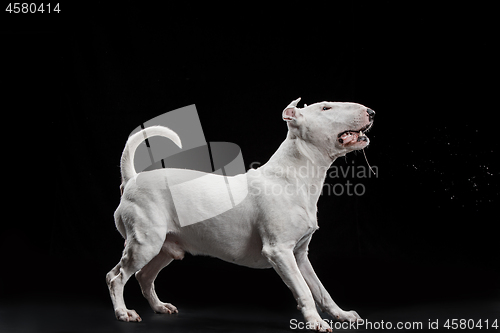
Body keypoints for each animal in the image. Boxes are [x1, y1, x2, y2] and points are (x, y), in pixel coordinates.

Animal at [106, 97, 376, 330]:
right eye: (326, 108)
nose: (371, 112)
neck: (293, 177)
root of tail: (132, 180)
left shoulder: (299, 255)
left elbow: (320, 290)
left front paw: (342, 314)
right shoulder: (279, 252)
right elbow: (304, 289)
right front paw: (316, 322)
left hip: (165, 247)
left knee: (143, 276)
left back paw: (160, 307)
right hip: (145, 244)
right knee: (116, 277)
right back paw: (123, 312)